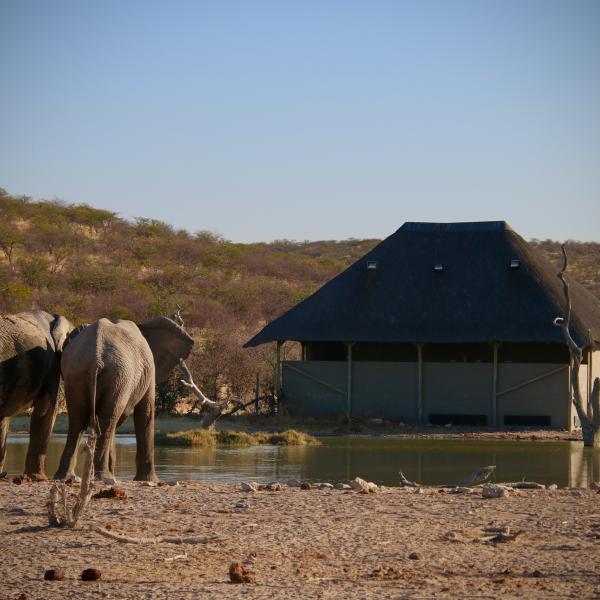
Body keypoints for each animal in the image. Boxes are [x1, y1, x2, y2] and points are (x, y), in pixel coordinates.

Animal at [55, 318, 193, 482]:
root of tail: (95, 356)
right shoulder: (149, 368)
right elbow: (146, 412)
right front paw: (150, 480)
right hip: (119, 376)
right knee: (107, 421)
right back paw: (105, 477)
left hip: (77, 372)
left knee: (78, 420)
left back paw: (66, 477)